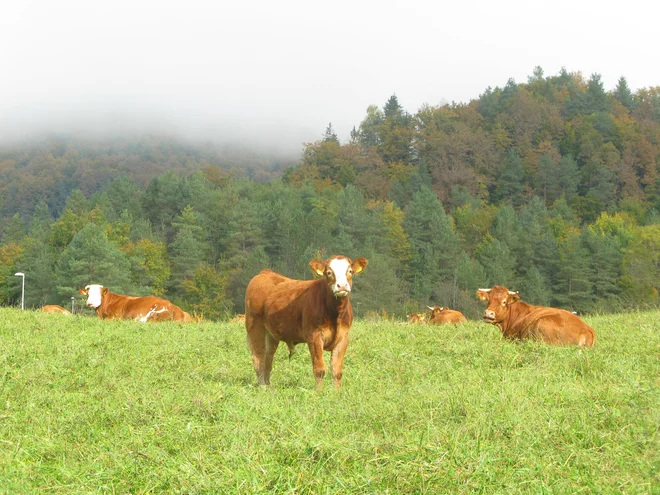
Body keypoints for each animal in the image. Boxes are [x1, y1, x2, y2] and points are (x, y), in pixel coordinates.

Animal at [244, 256, 368, 392]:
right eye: (329, 272)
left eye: (350, 271)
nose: (342, 286)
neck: (335, 314)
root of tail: (265, 273)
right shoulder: (314, 337)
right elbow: (319, 369)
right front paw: (319, 392)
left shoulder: (343, 338)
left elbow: (337, 370)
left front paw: (337, 392)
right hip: (255, 326)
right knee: (258, 357)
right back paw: (262, 387)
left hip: (271, 333)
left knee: (268, 357)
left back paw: (268, 385)